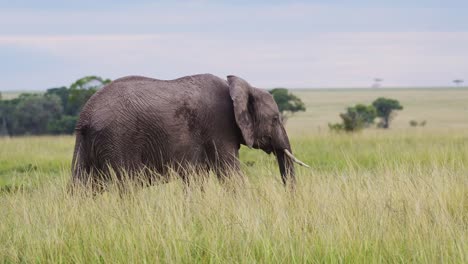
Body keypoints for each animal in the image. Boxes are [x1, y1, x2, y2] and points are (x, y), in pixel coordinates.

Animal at [70, 74, 308, 189]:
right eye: (275, 119)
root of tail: (86, 116)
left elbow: (196, 178)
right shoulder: (218, 127)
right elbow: (230, 174)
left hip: (85, 144)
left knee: (81, 187)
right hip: (118, 139)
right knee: (126, 187)